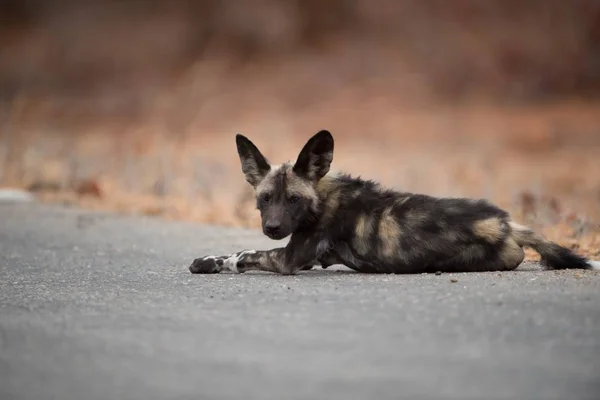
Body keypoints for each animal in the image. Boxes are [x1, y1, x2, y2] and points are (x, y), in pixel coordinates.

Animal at [190, 130, 600, 276]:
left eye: (293, 199)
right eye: (265, 199)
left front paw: (215, 262)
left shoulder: (288, 260)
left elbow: (243, 253)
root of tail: (506, 222)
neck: (324, 198)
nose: (272, 227)